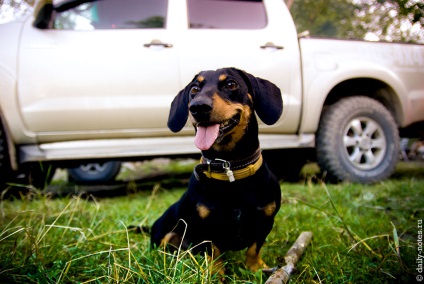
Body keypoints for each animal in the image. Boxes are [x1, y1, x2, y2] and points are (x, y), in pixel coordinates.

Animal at [151, 67, 284, 274]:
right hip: (165, 232)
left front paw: (255, 268)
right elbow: (214, 252)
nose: (198, 107)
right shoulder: (204, 228)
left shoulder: (266, 221)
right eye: (194, 89)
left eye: (231, 84)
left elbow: (254, 248)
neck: (230, 170)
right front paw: (215, 274)